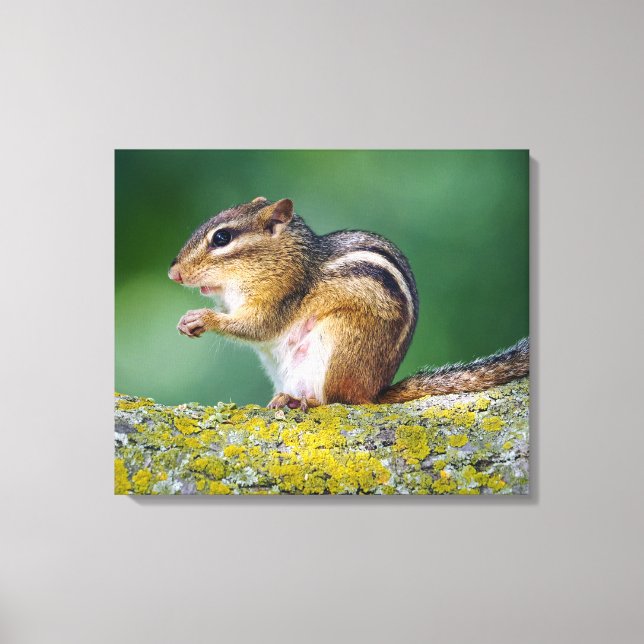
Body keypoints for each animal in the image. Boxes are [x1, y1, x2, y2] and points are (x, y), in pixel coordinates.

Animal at [168, 197, 529, 411]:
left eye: (221, 238)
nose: (174, 272)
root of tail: (375, 390)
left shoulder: (281, 296)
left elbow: (256, 327)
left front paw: (203, 318)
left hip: (341, 344)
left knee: (339, 400)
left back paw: (302, 401)